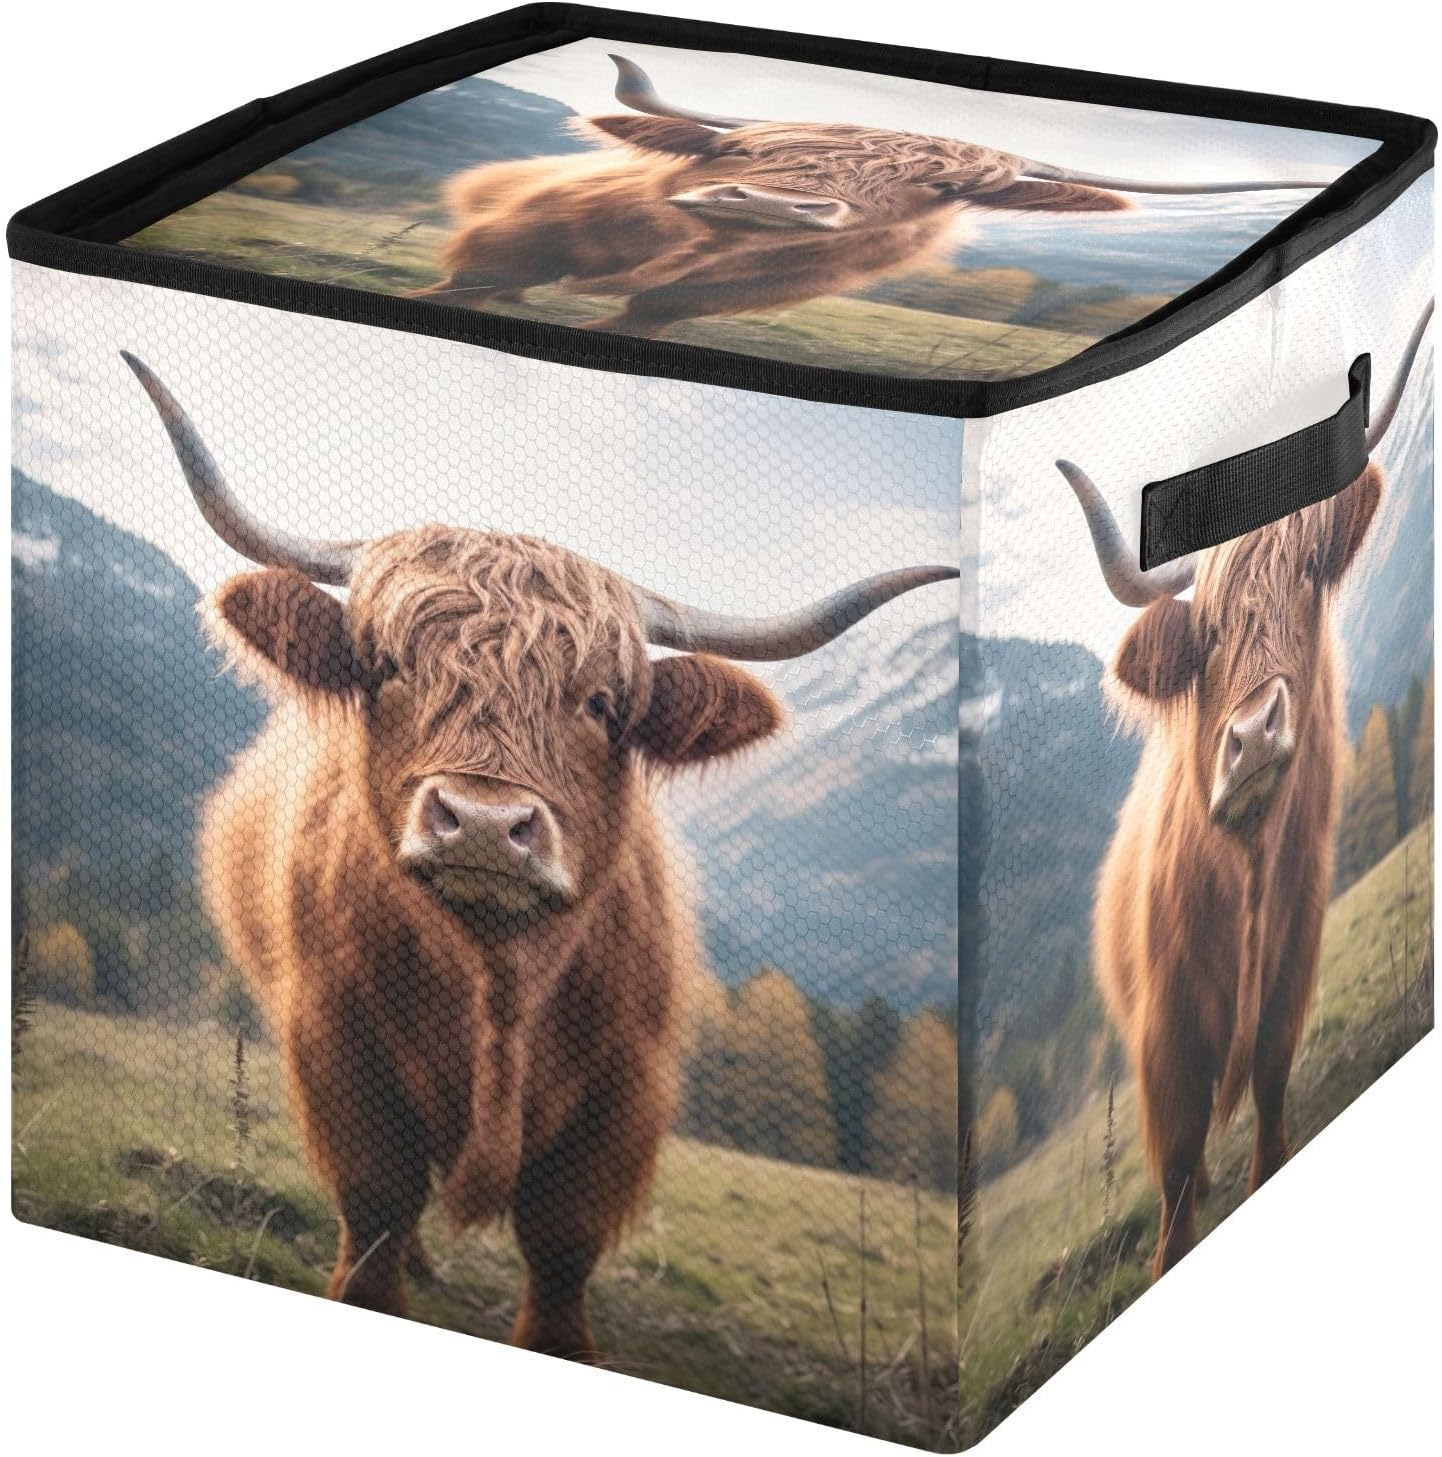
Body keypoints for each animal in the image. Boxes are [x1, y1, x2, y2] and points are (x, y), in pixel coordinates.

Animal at [122, 352, 957, 1356]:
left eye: (600, 703)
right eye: (390, 667)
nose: (483, 823)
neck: (498, 982)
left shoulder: (623, 1094)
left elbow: (561, 1254)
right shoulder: (334, 1044)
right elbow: (375, 1212)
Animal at [413, 54, 1328, 337]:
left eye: (944, 187)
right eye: (742, 149)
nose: (766, 203)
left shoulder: (708, 299)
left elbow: (648, 311)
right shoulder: (503, 244)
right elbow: (468, 281)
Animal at [1059, 302, 1434, 1278]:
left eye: (1306, 576)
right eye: (1211, 631)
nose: (1256, 734)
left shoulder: (1293, 973)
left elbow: (1270, 1105)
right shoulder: (1164, 1041)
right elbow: (1177, 1178)